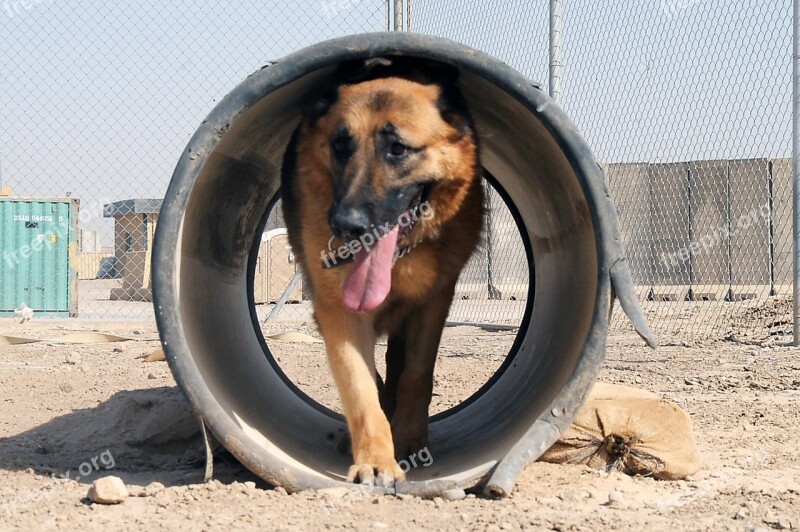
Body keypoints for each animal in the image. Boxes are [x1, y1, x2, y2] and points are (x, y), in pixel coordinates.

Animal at [282, 58, 482, 486]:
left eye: (398, 149)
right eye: (340, 146)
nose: (346, 225)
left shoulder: (432, 305)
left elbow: (416, 374)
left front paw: (408, 441)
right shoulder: (338, 312)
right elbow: (361, 388)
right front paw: (375, 459)